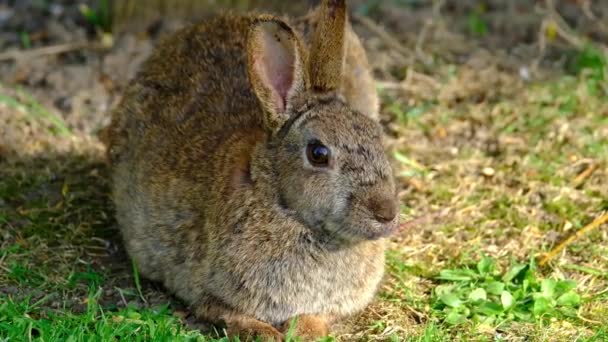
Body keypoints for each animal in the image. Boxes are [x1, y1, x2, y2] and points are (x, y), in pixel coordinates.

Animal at [104, 0, 400, 340]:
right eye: (318, 154)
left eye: (377, 136)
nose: (386, 213)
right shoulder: (209, 293)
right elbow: (233, 316)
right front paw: (269, 334)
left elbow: (316, 318)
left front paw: (304, 331)